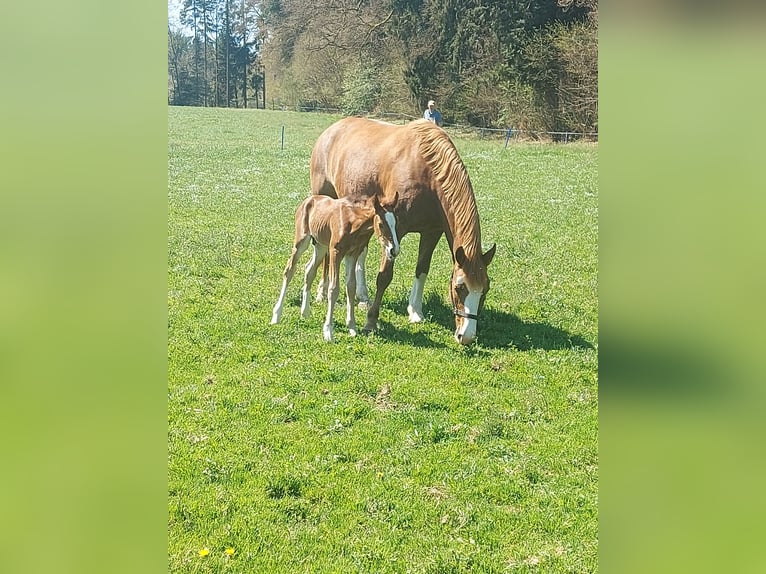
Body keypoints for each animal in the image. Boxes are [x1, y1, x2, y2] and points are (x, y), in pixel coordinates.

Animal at [271, 193, 400, 342]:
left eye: (395, 222)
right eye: (381, 224)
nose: (394, 250)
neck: (353, 222)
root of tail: (309, 199)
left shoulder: (352, 254)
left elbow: (351, 286)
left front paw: (352, 327)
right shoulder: (335, 252)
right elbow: (334, 288)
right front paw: (328, 331)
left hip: (320, 245)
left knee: (309, 270)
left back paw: (305, 312)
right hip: (301, 241)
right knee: (289, 270)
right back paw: (276, 315)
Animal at [310, 117, 496, 345]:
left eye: (485, 289)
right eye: (459, 287)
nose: (467, 336)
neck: (427, 171)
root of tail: (332, 129)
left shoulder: (431, 232)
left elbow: (422, 269)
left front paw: (415, 310)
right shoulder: (394, 231)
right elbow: (384, 276)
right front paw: (371, 321)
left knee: (360, 253)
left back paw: (362, 296)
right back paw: (322, 292)